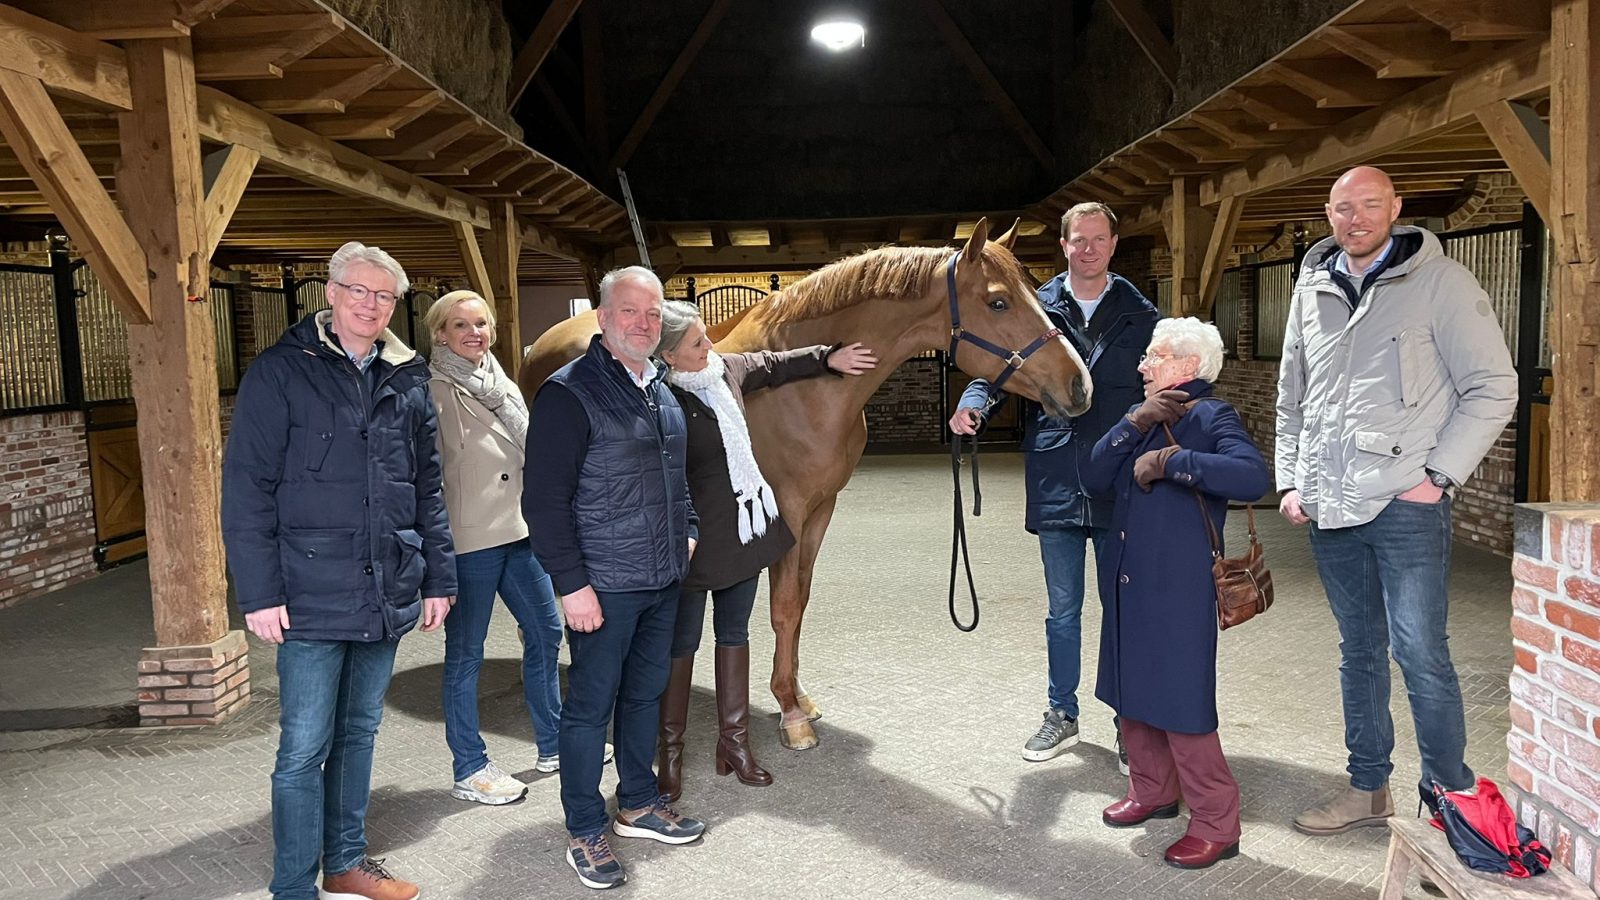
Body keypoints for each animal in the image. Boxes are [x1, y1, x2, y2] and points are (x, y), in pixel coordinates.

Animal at [520, 217, 1091, 750]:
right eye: (998, 302)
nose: (1079, 385)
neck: (810, 388)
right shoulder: (787, 512)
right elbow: (784, 606)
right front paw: (790, 715)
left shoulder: (820, 509)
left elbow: (802, 600)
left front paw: (798, 697)